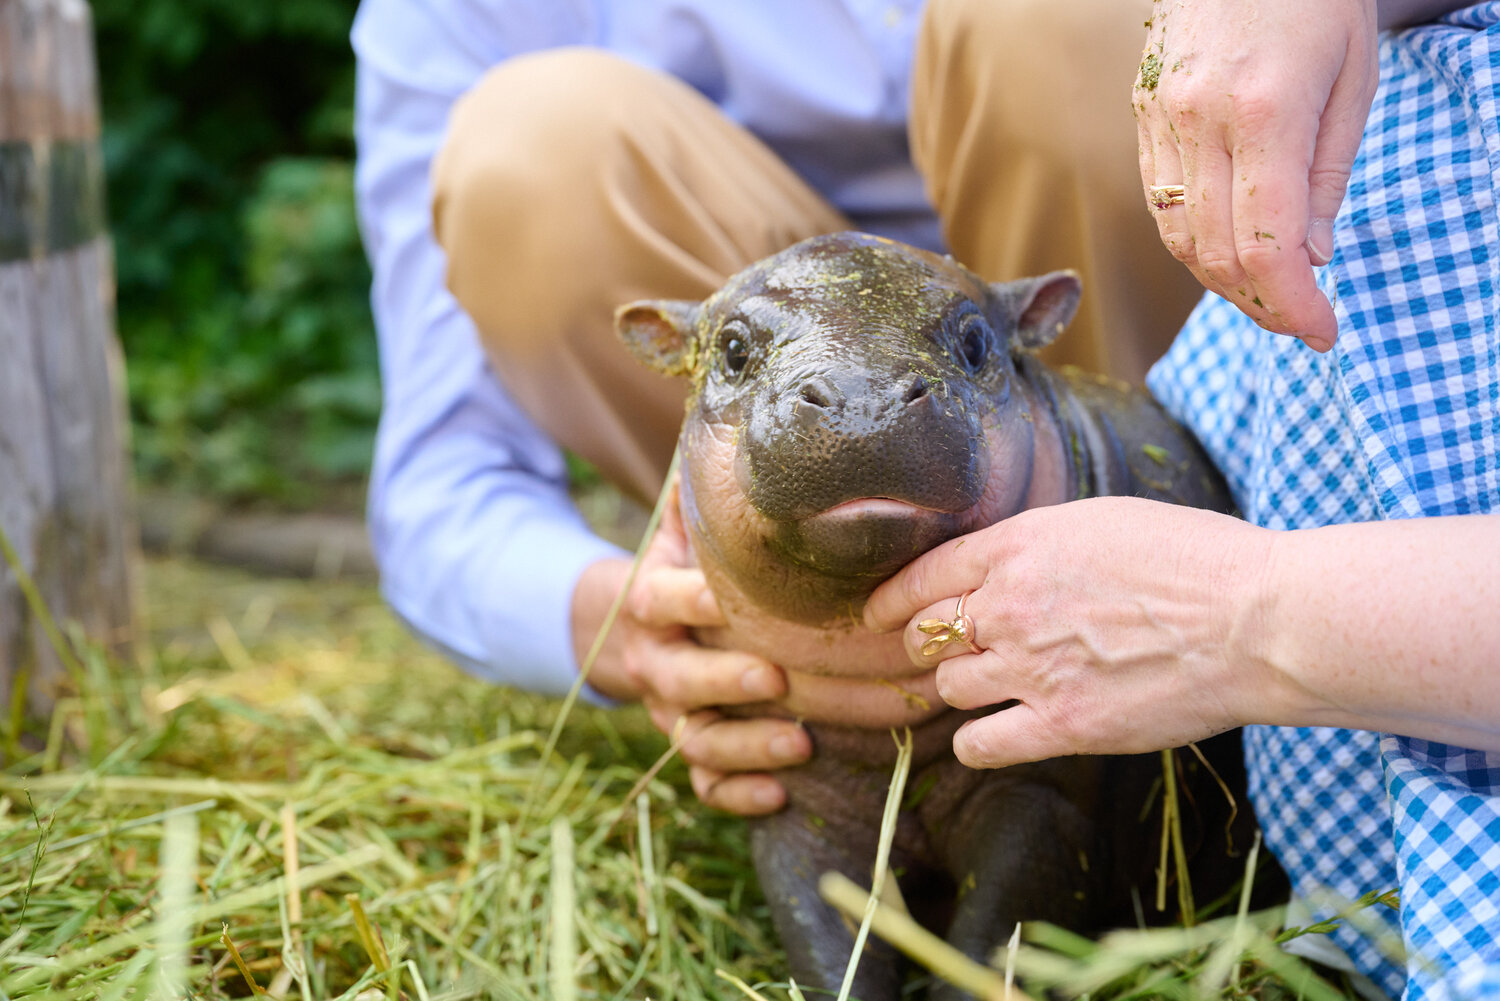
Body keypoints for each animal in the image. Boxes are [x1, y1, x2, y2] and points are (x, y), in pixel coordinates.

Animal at [616, 232, 1281, 1000]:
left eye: (975, 340)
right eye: (730, 347)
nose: (863, 402)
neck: (887, 723)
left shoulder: (1044, 796)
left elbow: (995, 935)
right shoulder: (792, 803)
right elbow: (826, 941)